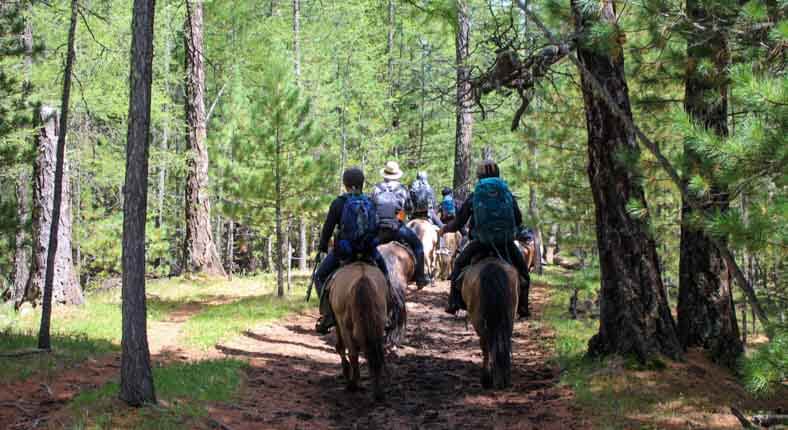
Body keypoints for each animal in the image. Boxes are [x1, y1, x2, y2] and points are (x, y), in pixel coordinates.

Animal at [326, 262, 388, 400]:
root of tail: (362, 278)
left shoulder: (338, 323)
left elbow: (341, 348)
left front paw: (346, 373)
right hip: (378, 324)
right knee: (375, 353)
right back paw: (378, 391)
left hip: (344, 326)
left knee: (352, 353)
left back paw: (353, 385)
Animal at [458, 258, 520, 390]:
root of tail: (493, 267)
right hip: (509, 316)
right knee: (503, 340)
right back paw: (503, 377)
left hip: (478, 320)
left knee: (485, 344)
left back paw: (486, 379)